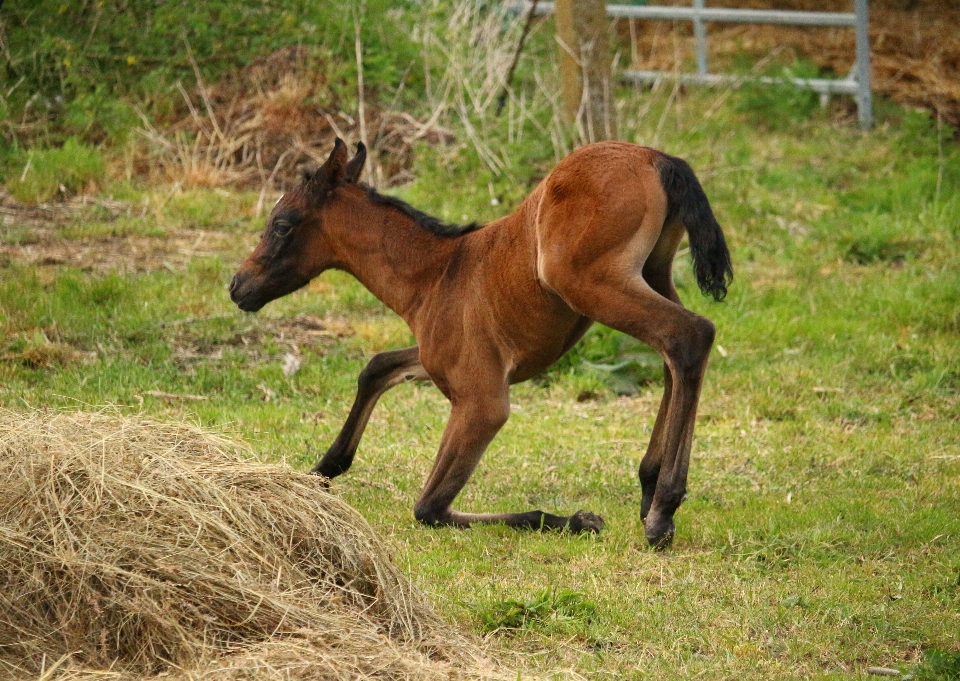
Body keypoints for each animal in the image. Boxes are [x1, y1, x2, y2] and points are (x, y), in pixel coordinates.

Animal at [229, 138, 732, 548]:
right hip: (652, 273)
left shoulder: (481, 400)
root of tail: (658, 158)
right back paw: (649, 488)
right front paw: (317, 472)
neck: (435, 276)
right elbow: (378, 366)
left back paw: (662, 510)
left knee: (689, 335)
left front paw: (574, 520)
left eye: (282, 223)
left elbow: (429, 507)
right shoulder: (438, 361)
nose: (238, 286)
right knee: (674, 354)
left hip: (590, 283)